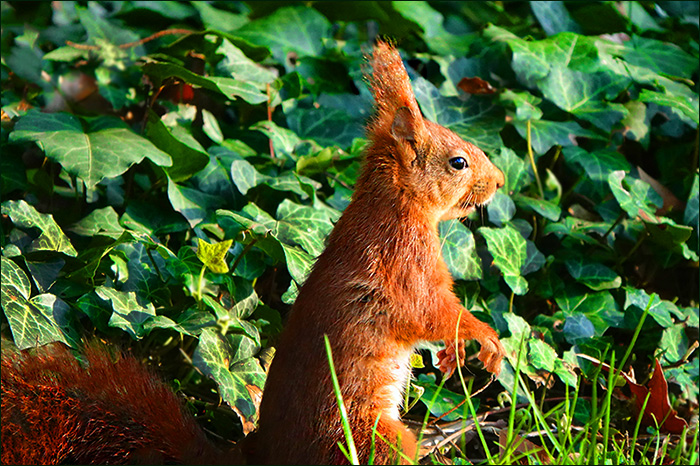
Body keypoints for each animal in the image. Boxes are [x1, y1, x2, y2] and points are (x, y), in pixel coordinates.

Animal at [1, 41, 505, 465]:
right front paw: (483, 339)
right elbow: (430, 312)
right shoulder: (403, 263)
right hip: (372, 439)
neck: (395, 205)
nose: (499, 182)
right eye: (458, 163)